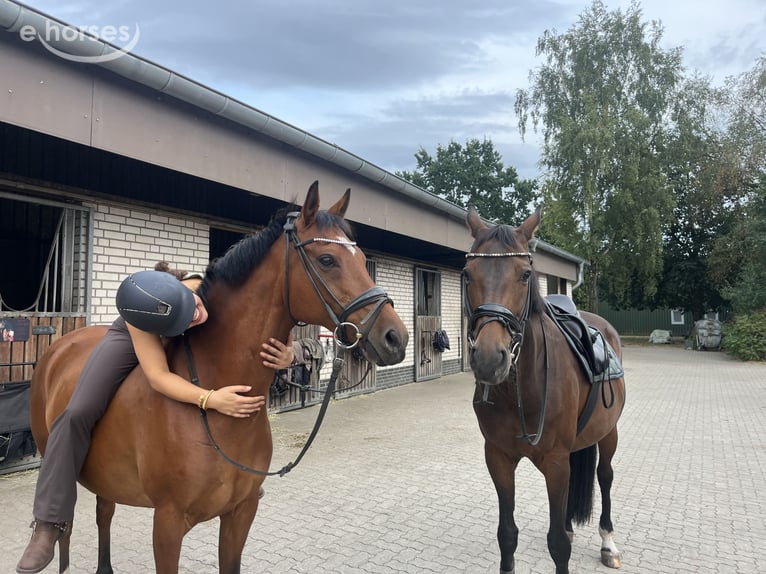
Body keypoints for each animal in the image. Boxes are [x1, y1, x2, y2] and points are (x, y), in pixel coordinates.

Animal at [28, 181, 409, 574]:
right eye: (327, 260)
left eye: (361, 258)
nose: (395, 337)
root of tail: (62, 346)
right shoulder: (167, 522)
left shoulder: (241, 511)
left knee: (104, 510)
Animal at [463, 206, 626, 574]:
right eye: (466, 274)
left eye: (525, 275)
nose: (489, 359)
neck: (520, 390)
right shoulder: (498, 458)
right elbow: (507, 534)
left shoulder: (555, 462)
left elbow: (558, 545)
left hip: (608, 432)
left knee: (605, 476)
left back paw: (608, 543)